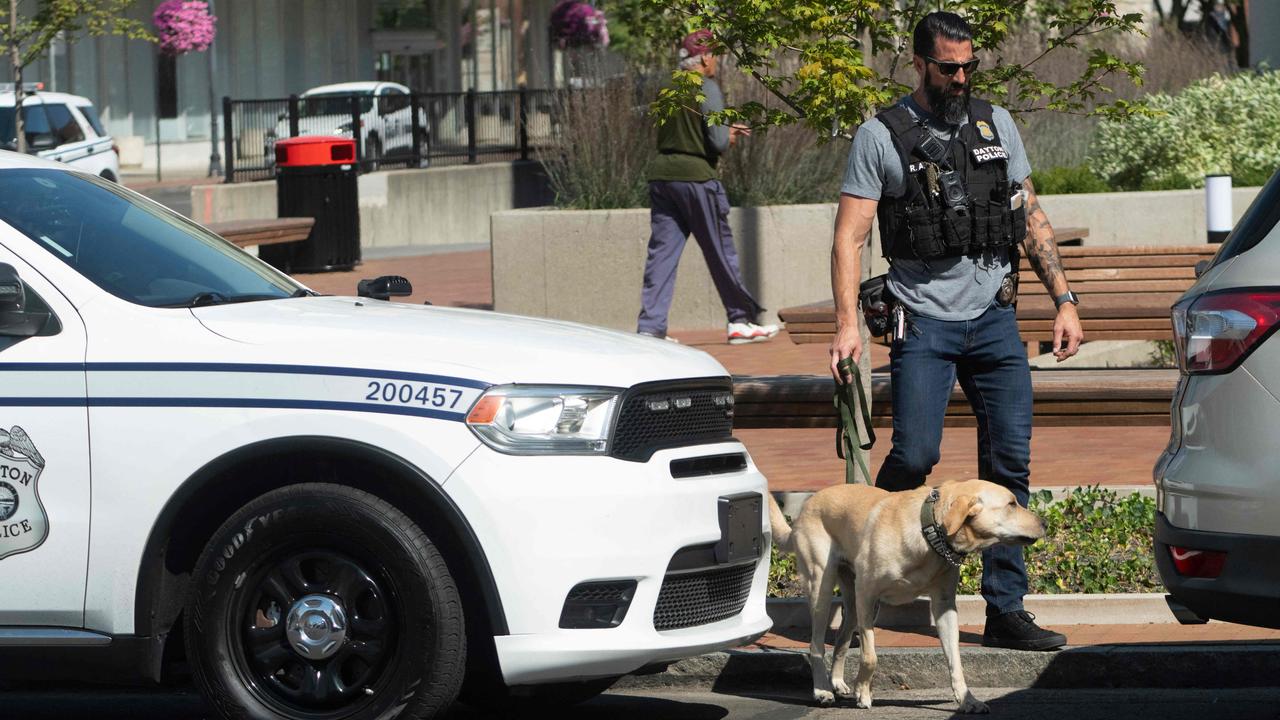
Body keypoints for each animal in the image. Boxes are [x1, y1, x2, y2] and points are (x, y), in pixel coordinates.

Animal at [762, 479, 1044, 707]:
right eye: (1011, 504)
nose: (1044, 522)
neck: (930, 532)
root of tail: (805, 508)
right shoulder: (867, 593)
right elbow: (870, 656)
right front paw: (863, 692)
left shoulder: (944, 606)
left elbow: (955, 660)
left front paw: (967, 700)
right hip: (822, 585)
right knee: (817, 645)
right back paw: (822, 690)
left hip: (852, 603)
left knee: (841, 639)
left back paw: (838, 681)